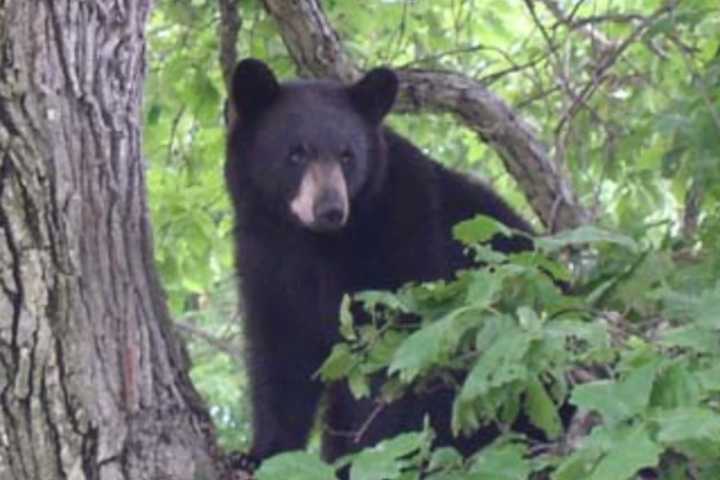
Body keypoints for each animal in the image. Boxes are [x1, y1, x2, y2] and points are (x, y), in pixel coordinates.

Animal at [226, 58, 540, 466]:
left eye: (347, 155)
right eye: (296, 153)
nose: (330, 209)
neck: (312, 242)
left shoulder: (404, 239)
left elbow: (393, 359)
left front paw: (367, 455)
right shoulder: (264, 257)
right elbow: (280, 357)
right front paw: (259, 453)